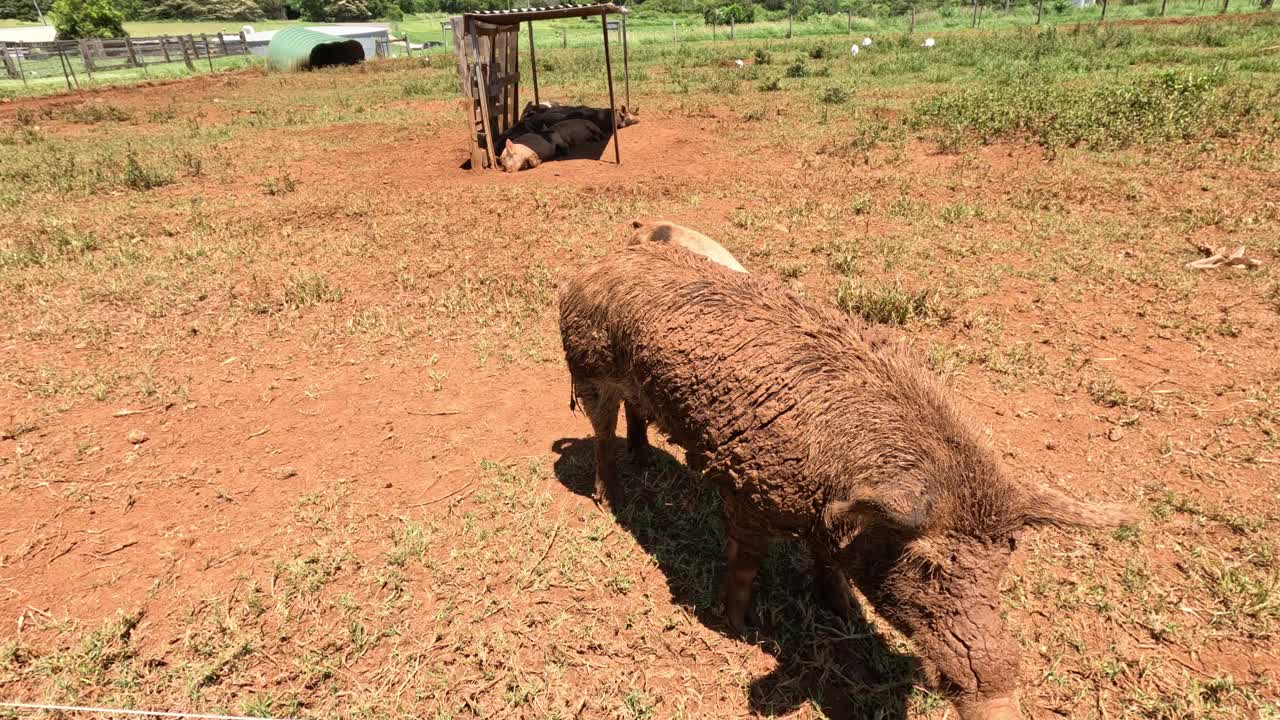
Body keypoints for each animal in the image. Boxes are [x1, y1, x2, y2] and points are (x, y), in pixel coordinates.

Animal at [560, 242, 1131, 717]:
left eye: (1004, 560)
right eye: (926, 567)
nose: (1000, 698)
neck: (836, 480)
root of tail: (597, 262)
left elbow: (828, 564)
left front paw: (844, 613)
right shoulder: (748, 489)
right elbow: (745, 564)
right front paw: (737, 627)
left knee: (636, 415)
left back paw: (644, 460)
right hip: (587, 366)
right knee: (602, 433)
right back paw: (610, 499)